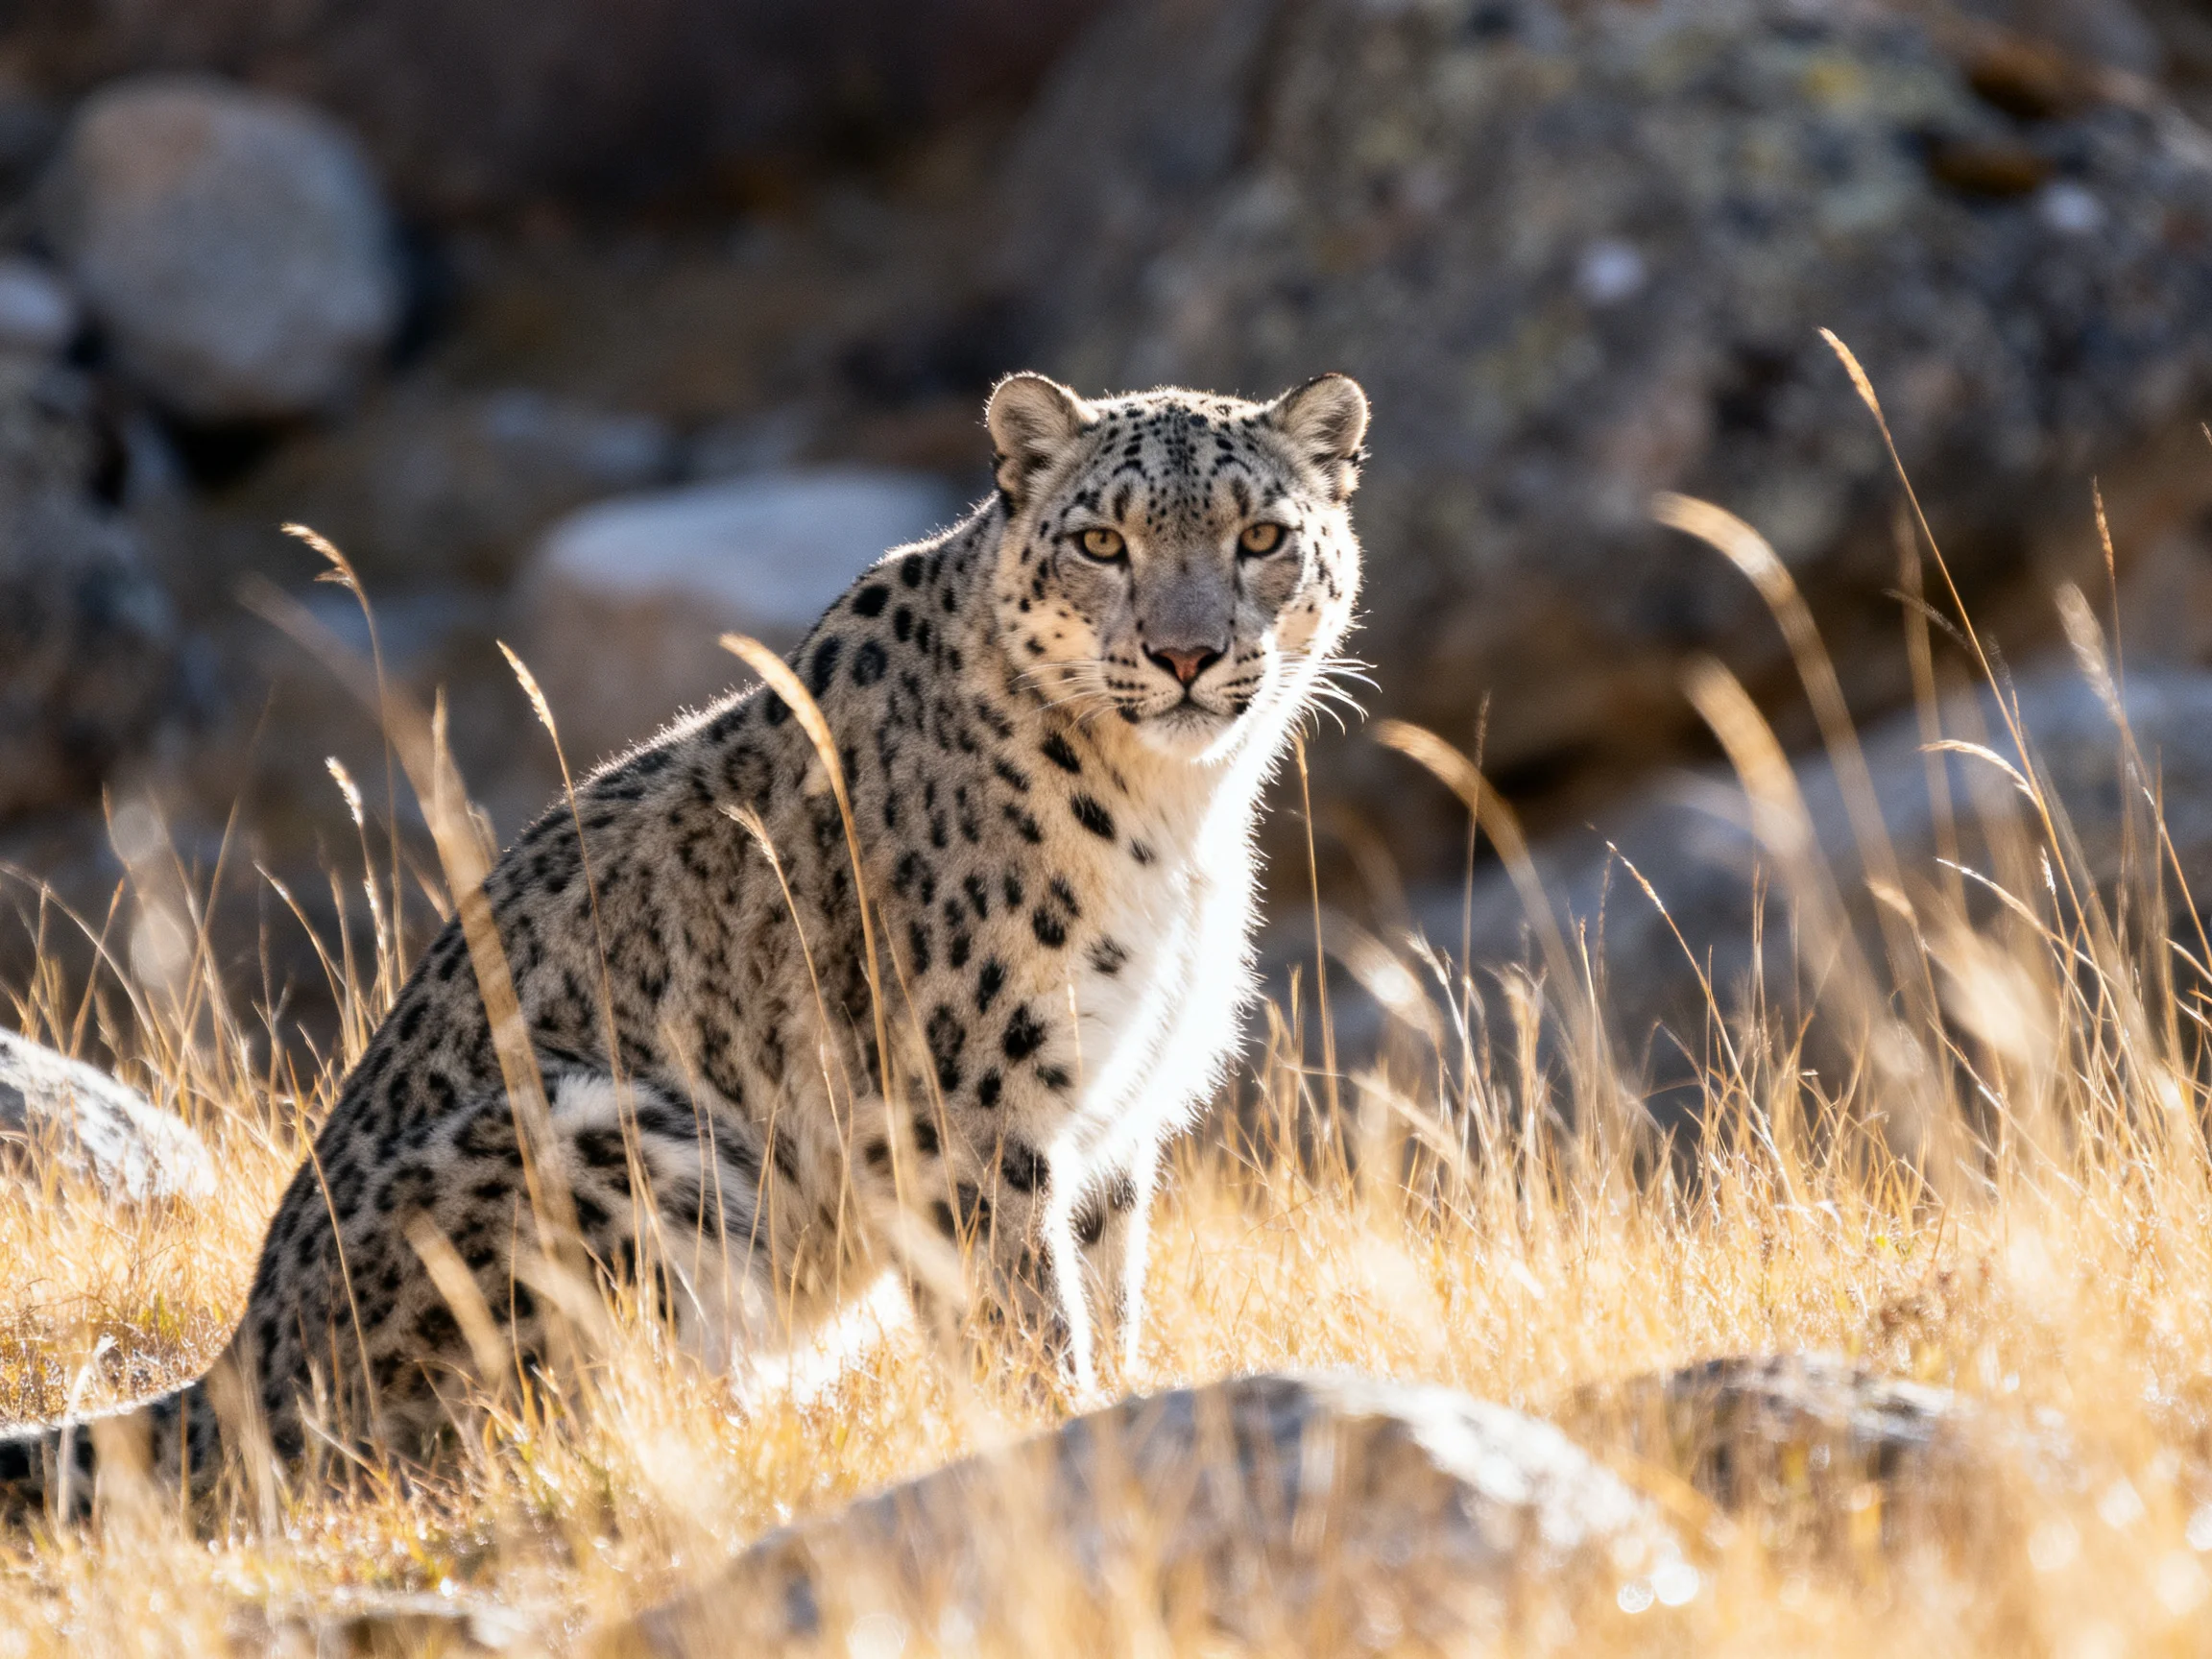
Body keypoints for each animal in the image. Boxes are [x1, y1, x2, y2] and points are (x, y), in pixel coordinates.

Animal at [0, 370, 1369, 1518]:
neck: (1177, 819)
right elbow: (1019, 1306)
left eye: (1261, 537)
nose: (1186, 653)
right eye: (1101, 542)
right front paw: (1058, 1440)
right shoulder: (968, 1106)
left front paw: (1126, 1408)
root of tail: (236, 1367)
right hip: (620, 1140)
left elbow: (1106, 1280)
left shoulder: (1114, 1114)